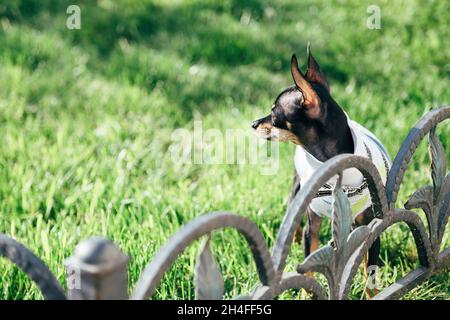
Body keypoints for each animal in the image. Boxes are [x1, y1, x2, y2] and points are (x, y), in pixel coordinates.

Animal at [251, 44, 392, 296]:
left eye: (274, 115)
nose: (254, 124)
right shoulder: (313, 224)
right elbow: (308, 268)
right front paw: (306, 295)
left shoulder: (372, 229)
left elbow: (370, 272)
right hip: (297, 189)